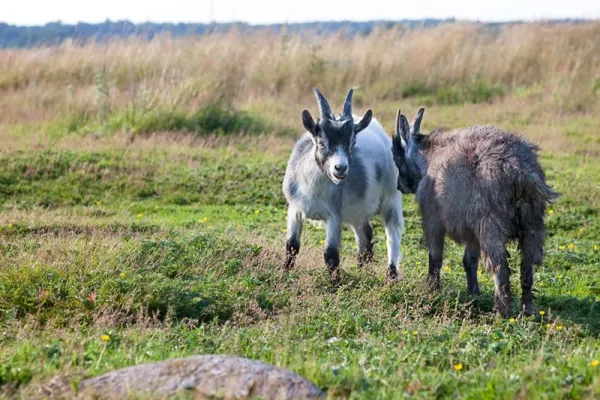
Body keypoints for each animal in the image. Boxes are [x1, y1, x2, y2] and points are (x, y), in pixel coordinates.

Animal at [282, 88, 404, 282]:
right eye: (321, 143)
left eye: (351, 143)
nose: (340, 168)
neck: (313, 189)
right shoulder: (295, 208)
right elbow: (292, 245)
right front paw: (284, 274)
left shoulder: (334, 214)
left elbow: (330, 253)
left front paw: (335, 283)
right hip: (357, 209)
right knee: (365, 233)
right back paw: (362, 268)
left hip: (391, 195)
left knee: (393, 233)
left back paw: (391, 274)